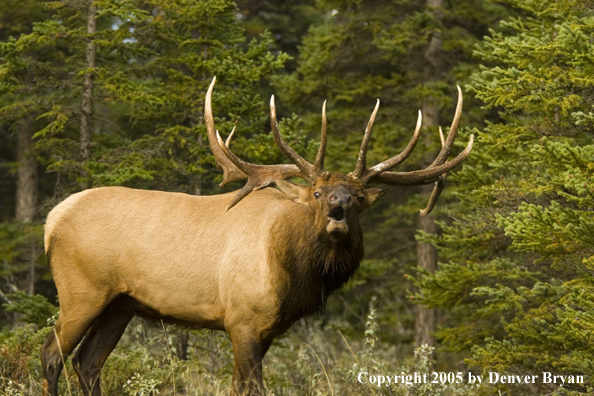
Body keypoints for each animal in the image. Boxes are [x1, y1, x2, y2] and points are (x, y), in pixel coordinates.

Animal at [39, 76, 472, 394]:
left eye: (360, 197)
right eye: (317, 193)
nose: (338, 207)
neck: (294, 276)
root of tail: (52, 220)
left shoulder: (265, 330)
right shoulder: (241, 318)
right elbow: (252, 388)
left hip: (121, 304)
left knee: (88, 363)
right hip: (81, 290)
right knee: (51, 354)